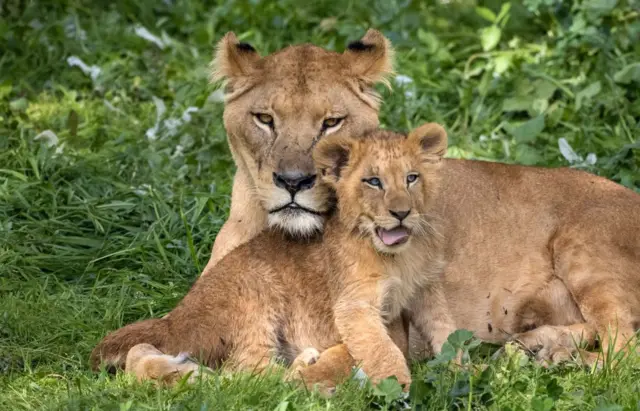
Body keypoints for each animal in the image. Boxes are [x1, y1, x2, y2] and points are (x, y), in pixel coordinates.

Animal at [208, 29, 636, 366]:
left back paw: (556, 360)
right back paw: (536, 349)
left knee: (624, 358)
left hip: (583, 249)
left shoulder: (392, 328)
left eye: (331, 122)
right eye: (264, 119)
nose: (294, 181)